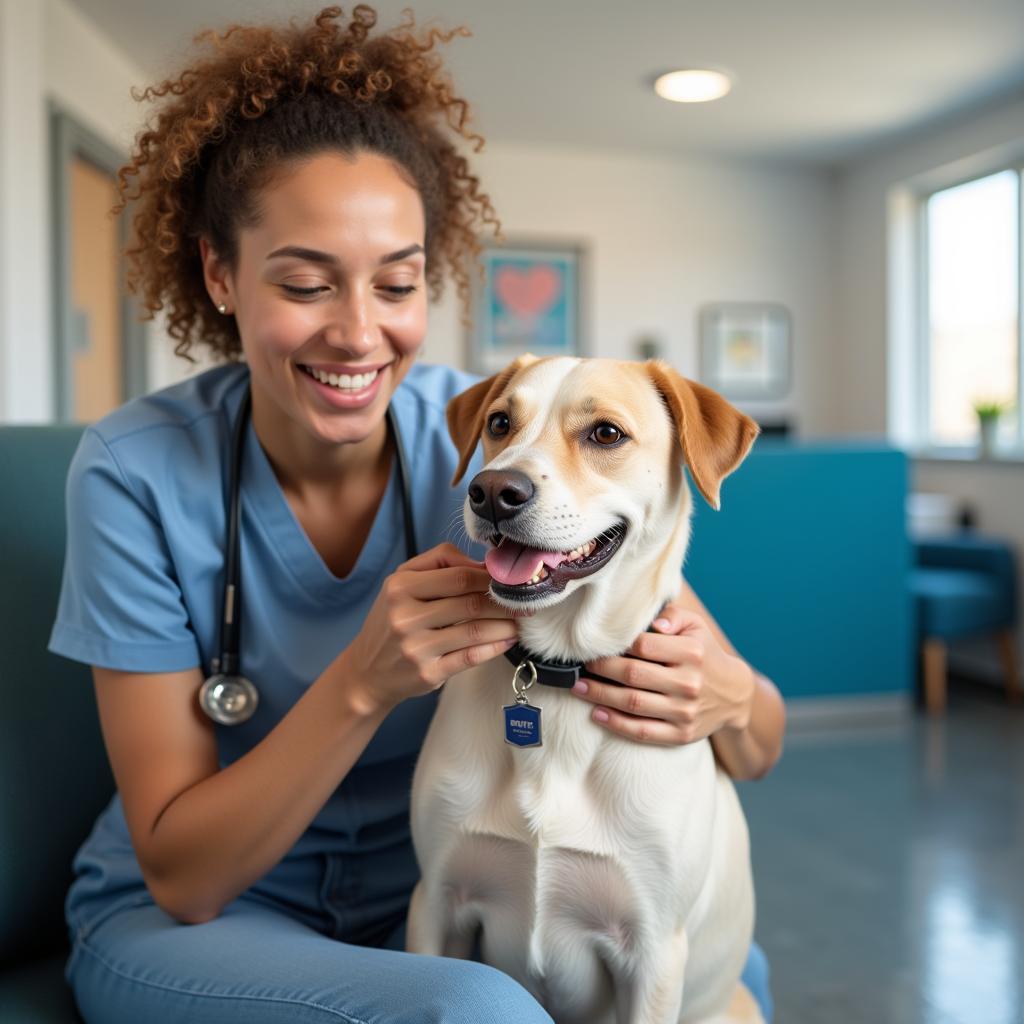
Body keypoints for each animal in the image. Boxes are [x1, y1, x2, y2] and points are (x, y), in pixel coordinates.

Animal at [409, 358, 770, 1024]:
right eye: (499, 422)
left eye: (605, 434)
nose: (493, 491)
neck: (558, 672)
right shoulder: (436, 905)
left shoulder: (654, 953)